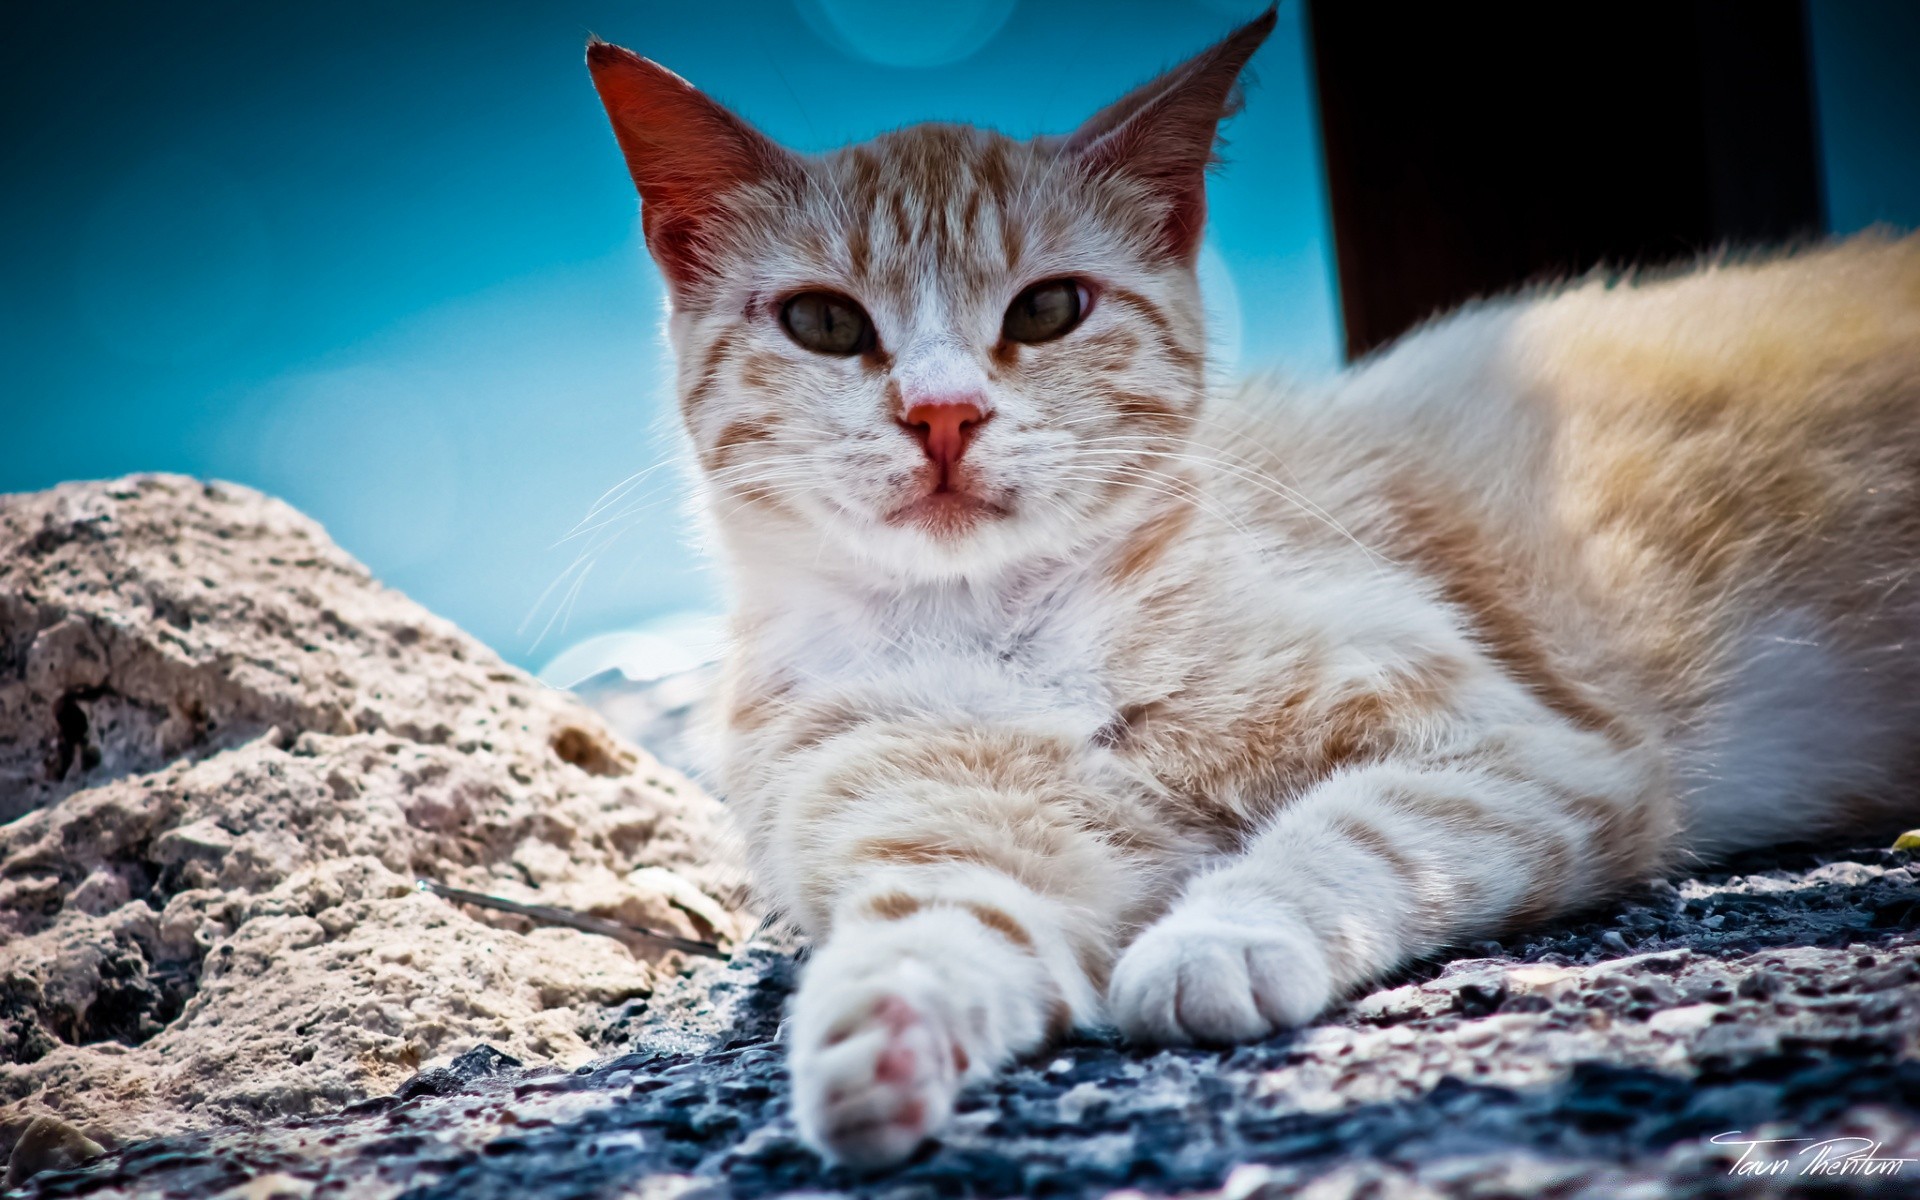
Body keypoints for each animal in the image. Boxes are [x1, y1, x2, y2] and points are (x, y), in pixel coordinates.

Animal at [579, 7, 1920, 1167]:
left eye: (1049, 308)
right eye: (823, 323)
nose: (944, 413)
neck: (1009, 636)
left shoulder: (1523, 750)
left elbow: (1345, 835)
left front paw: (1218, 938)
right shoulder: (962, 839)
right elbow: (932, 934)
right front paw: (881, 1046)